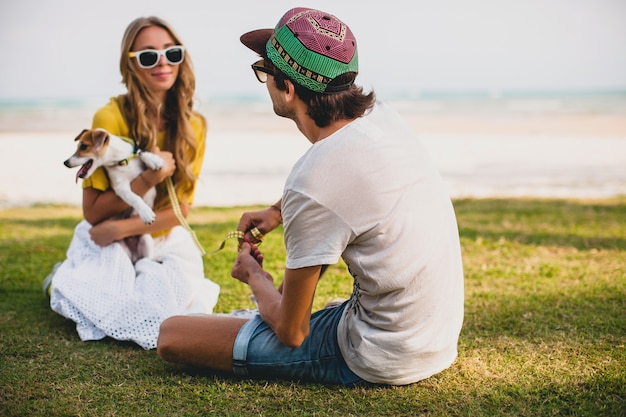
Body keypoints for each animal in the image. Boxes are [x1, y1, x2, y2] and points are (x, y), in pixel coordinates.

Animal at [64, 128, 163, 262]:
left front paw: (153, 159)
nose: (65, 162)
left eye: (83, 146)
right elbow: (134, 198)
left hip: (146, 239)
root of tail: (134, 256)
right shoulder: (120, 187)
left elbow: (141, 153)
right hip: (119, 247)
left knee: (146, 259)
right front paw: (145, 213)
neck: (121, 160)